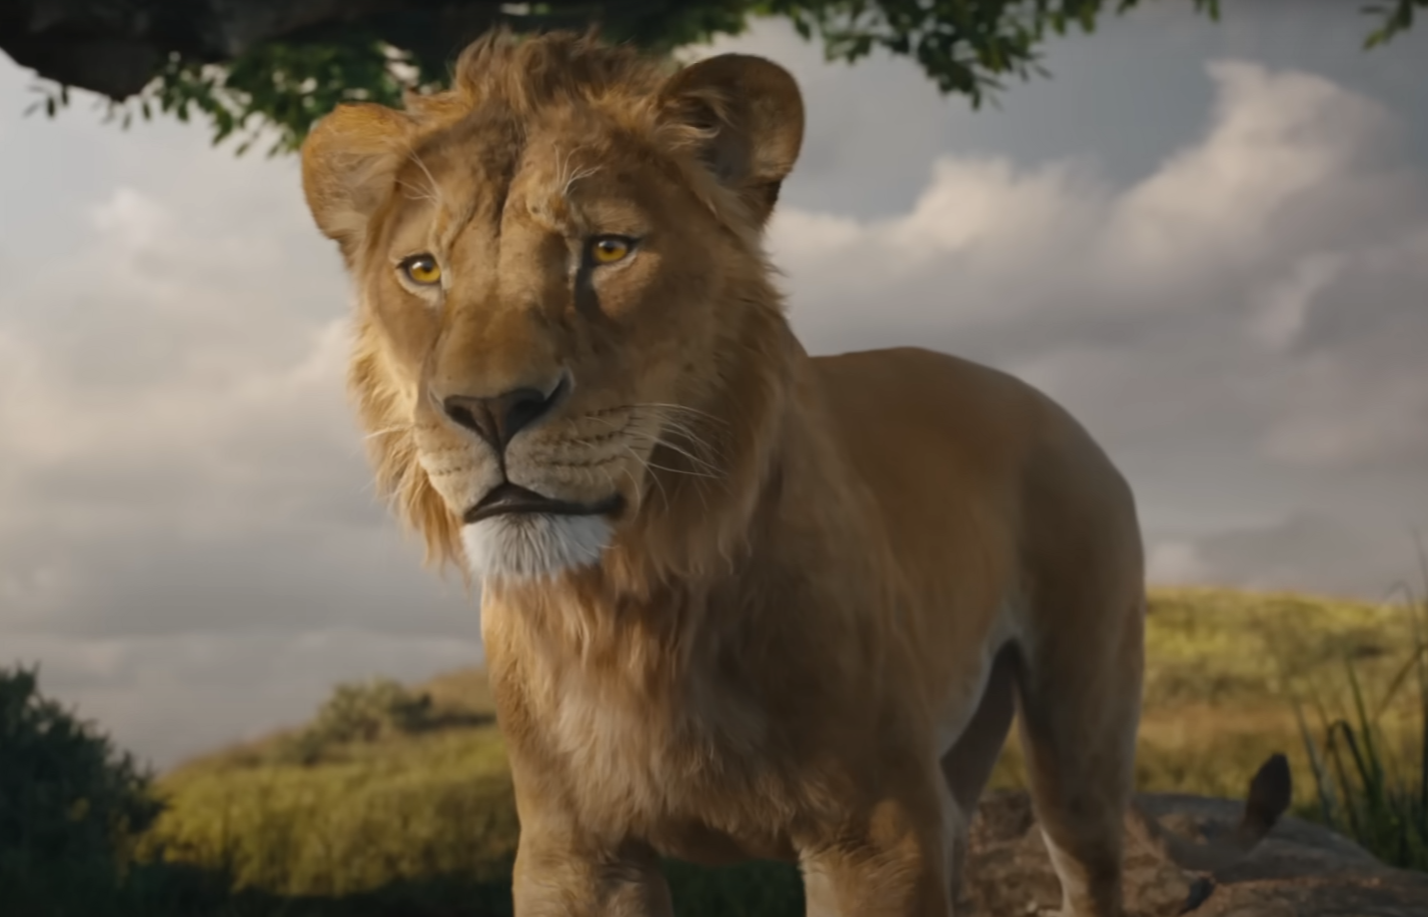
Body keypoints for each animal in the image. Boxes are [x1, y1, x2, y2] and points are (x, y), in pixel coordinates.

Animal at [299, 29, 1290, 917]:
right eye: (423, 270)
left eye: (609, 250)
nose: (490, 409)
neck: (630, 603)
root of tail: (1051, 407)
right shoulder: (573, 849)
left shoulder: (875, 831)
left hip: (1080, 726)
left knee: (1090, 864)